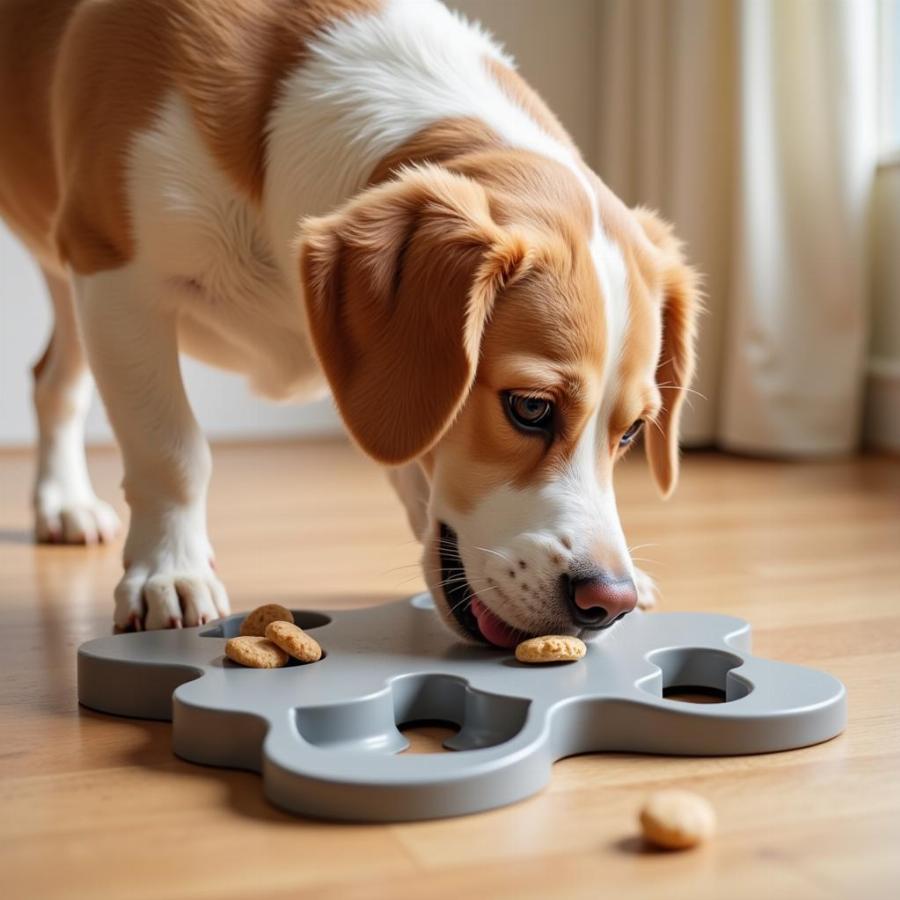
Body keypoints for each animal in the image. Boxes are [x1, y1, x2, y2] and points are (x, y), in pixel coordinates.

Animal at [0, 0, 700, 648]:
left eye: (632, 432)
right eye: (529, 408)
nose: (609, 601)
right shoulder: (117, 278)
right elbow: (169, 448)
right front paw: (169, 572)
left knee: (52, 380)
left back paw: (63, 503)